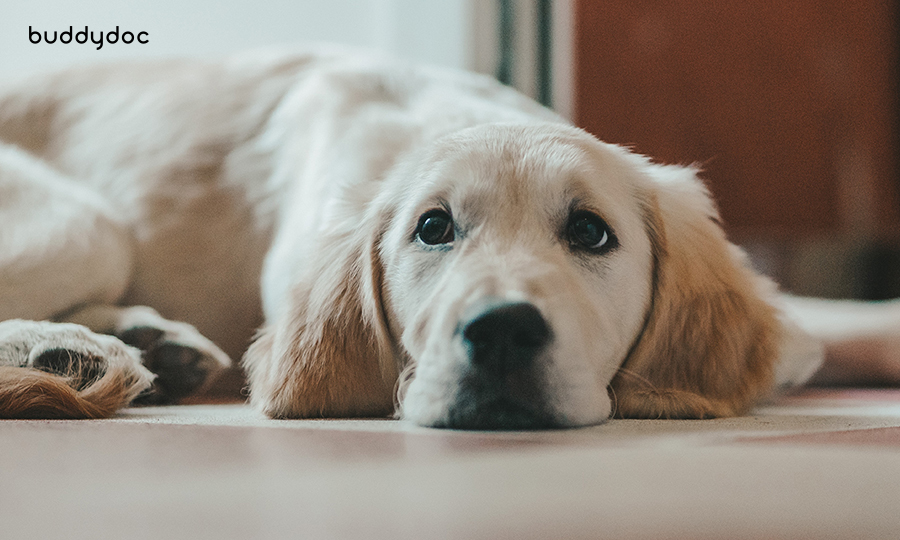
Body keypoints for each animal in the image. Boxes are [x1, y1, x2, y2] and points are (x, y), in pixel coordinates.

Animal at [0, 45, 896, 426]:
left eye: (591, 232)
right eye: (432, 228)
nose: (500, 334)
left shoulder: (795, 327)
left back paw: (144, 343)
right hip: (86, 226)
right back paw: (66, 351)